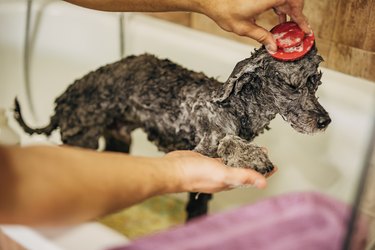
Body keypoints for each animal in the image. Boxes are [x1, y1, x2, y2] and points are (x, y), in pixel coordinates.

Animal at [15, 46, 332, 220]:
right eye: (293, 85)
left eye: (316, 82)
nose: (325, 121)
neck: (237, 107)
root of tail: (61, 103)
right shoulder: (206, 141)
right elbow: (227, 144)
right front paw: (252, 157)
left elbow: (198, 208)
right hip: (82, 140)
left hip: (119, 141)